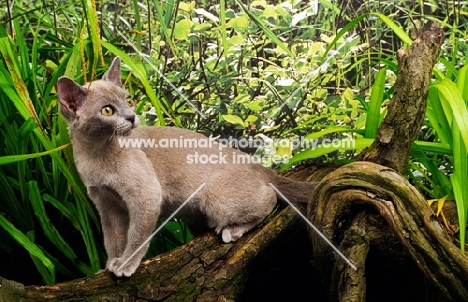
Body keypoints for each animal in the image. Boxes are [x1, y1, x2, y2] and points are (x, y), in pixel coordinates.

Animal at [56, 57, 316, 278]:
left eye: (129, 100)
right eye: (107, 110)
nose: (131, 117)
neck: (96, 155)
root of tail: (254, 163)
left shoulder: (146, 194)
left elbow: (137, 234)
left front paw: (126, 264)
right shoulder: (106, 204)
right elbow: (112, 239)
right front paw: (110, 264)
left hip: (214, 197)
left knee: (269, 198)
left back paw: (231, 230)